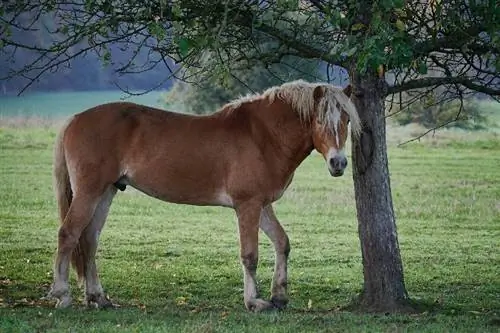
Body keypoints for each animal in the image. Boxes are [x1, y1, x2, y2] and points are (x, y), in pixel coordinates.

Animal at [46, 79, 360, 310]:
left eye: (345, 119)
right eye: (320, 121)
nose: (338, 163)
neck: (262, 136)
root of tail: (74, 119)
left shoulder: (262, 205)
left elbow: (282, 243)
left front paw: (279, 296)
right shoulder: (247, 205)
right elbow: (250, 255)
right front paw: (254, 302)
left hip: (106, 192)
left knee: (89, 240)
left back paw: (98, 297)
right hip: (89, 192)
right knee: (68, 234)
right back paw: (62, 294)